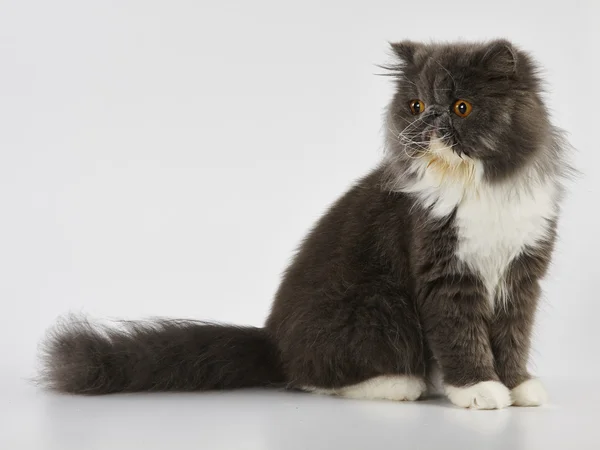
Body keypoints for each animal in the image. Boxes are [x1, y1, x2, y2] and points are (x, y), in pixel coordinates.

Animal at [38, 40, 572, 410]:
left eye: (461, 107)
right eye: (417, 106)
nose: (428, 123)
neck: (477, 190)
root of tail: (272, 340)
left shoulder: (522, 272)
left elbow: (513, 336)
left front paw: (518, 385)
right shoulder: (444, 273)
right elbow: (462, 336)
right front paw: (480, 389)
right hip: (378, 309)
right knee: (317, 376)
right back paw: (402, 383)